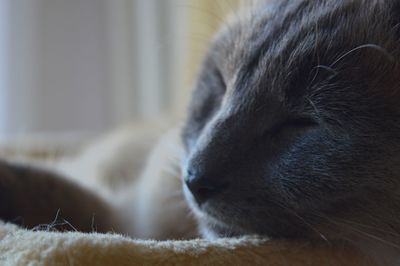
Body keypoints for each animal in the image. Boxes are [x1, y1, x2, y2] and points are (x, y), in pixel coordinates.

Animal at [0, 0, 400, 264]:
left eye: (301, 123)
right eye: (221, 86)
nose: (194, 180)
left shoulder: (120, 223)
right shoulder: (127, 216)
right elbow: (48, 191)